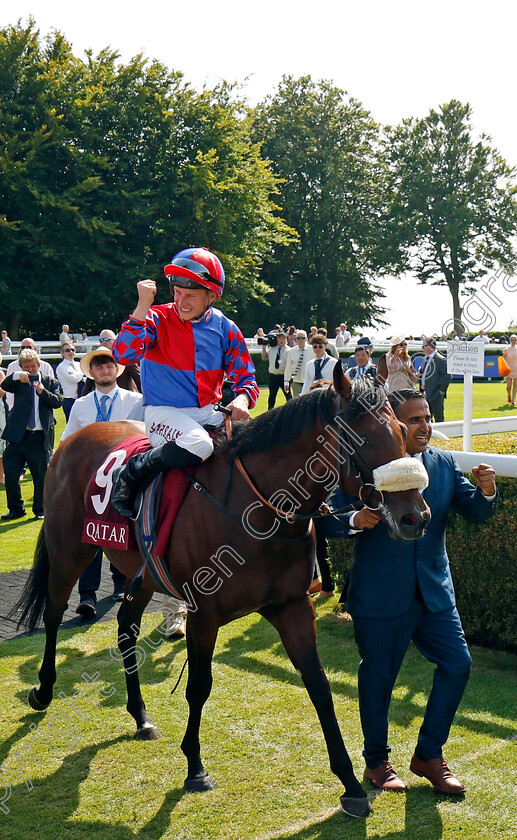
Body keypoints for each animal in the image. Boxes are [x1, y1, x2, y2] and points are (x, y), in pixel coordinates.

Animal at [14, 364, 430, 816]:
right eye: (364, 439)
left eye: (403, 433)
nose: (415, 517)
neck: (259, 509)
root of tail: (75, 436)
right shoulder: (204, 614)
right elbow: (199, 687)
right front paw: (195, 768)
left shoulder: (292, 606)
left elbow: (319, 685)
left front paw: (351, 784)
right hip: (70, 552)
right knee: (54, 612)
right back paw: (43, 690)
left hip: (140, 573)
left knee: (125, 625)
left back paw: (140, 716)